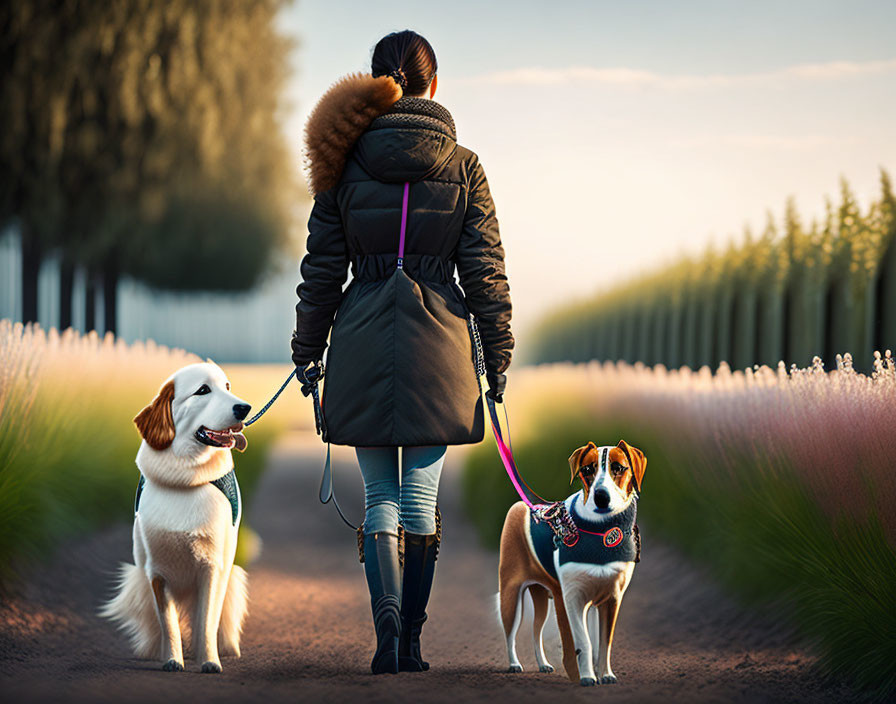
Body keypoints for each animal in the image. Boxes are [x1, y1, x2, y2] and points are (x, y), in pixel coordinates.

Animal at [103, 364, 254, 672]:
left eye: (228, 387)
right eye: (203, 390)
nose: (245, 408)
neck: (185, 480)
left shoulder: (212, 568)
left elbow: (206, 621)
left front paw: (209, 661)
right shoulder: (157, 573)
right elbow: (169, 624)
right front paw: (172, 659)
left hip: (231, 577)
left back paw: (224, 649)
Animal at [496, 440, 644, 688]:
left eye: (618, 467)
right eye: (587, 469)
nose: (601, 496)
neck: (602, 531)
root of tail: (521, 506)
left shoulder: (611, 599)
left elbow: (604, 643)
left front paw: (605, 674)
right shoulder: (573, 599)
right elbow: (583, 642)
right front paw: (586, 676)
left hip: (543, 596)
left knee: (536, 630)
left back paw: (543, 664)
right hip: (512, 594)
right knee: (510, 633)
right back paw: (514, 664)